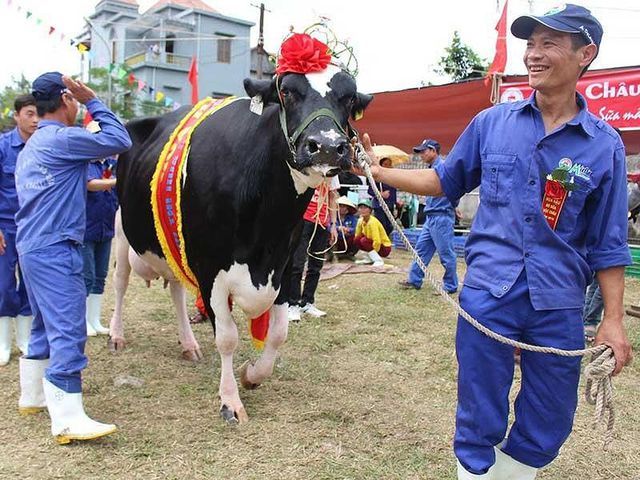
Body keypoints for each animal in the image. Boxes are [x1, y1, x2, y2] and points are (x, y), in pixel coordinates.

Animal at [109, 64, 370, 424]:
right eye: (287, 91)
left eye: (349, 97)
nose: (328, 146)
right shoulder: (211, 271)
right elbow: (228, 338)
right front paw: (230, 400)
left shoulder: (282, 265)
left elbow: (278, 333)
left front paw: (252, 375)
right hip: (122, 229)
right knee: (121, 284)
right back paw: (116, 335)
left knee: (176, 291)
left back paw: (188, 344)